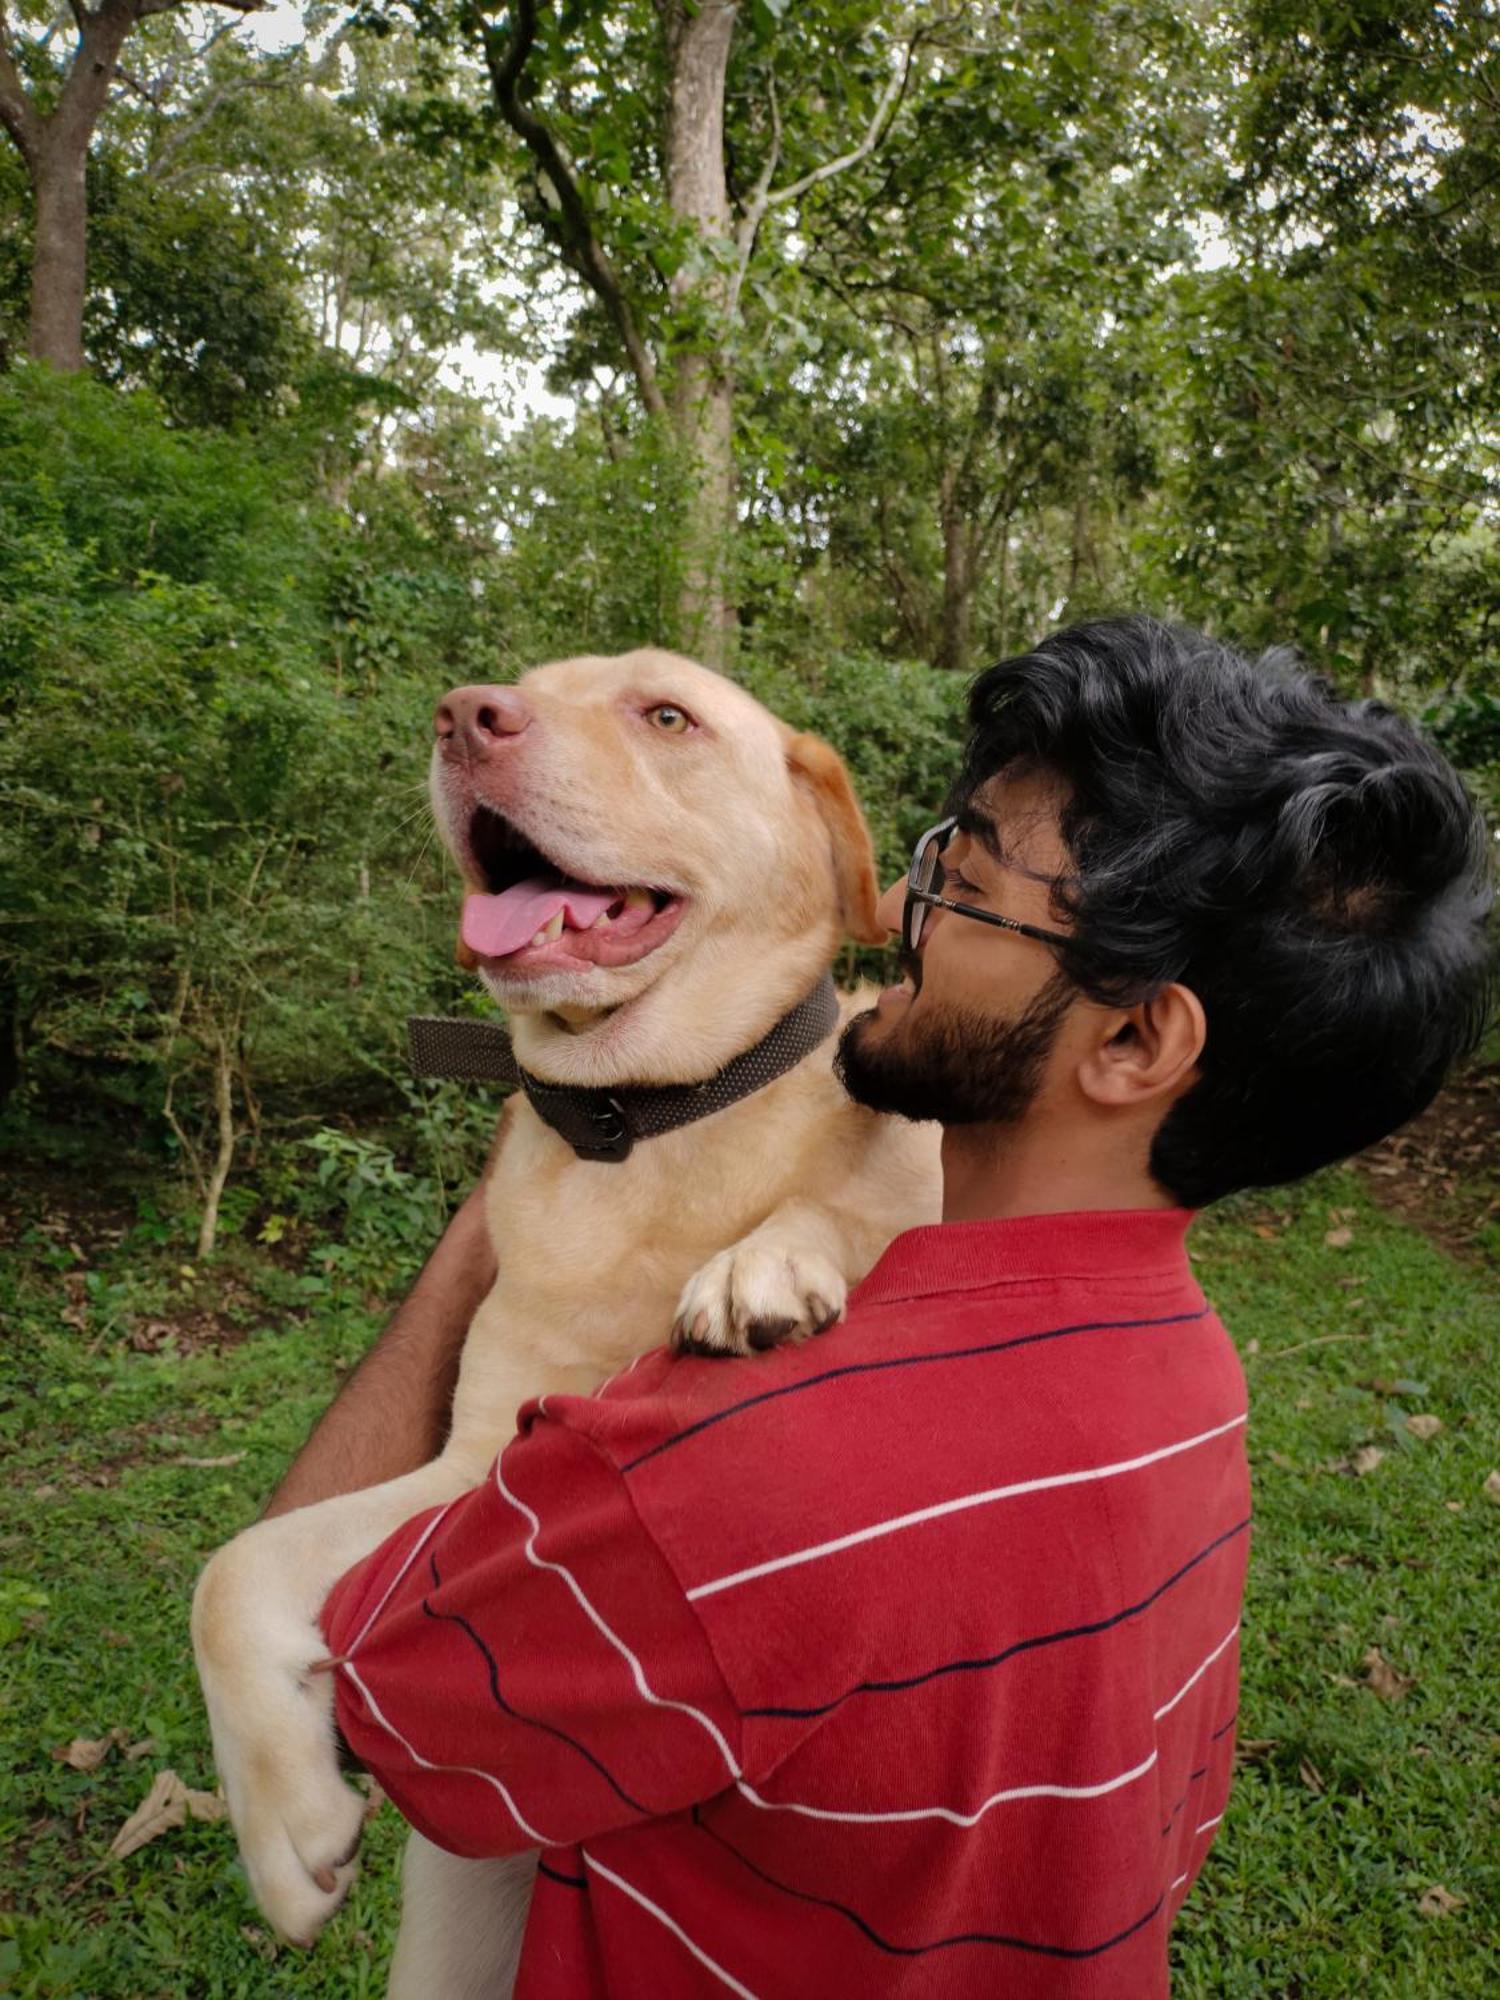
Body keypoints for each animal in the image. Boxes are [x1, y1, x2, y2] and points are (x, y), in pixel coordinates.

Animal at [188, 652, 940, 1984]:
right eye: (518, 685)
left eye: (668, 714)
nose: (460, 718)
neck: (644, 1121)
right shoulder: (475, 1472)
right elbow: (230, 1568)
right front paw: (285, 1829)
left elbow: (860, 1195)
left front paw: (767, 1261)